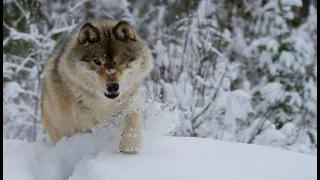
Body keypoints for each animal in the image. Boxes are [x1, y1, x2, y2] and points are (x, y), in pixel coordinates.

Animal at [40, 20, 153, 154]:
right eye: (97, 62)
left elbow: (134, 120)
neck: (105, 104)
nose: (113, 87)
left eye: (121, 61)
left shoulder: (131, 105)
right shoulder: (83, 126)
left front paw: (129, 145)